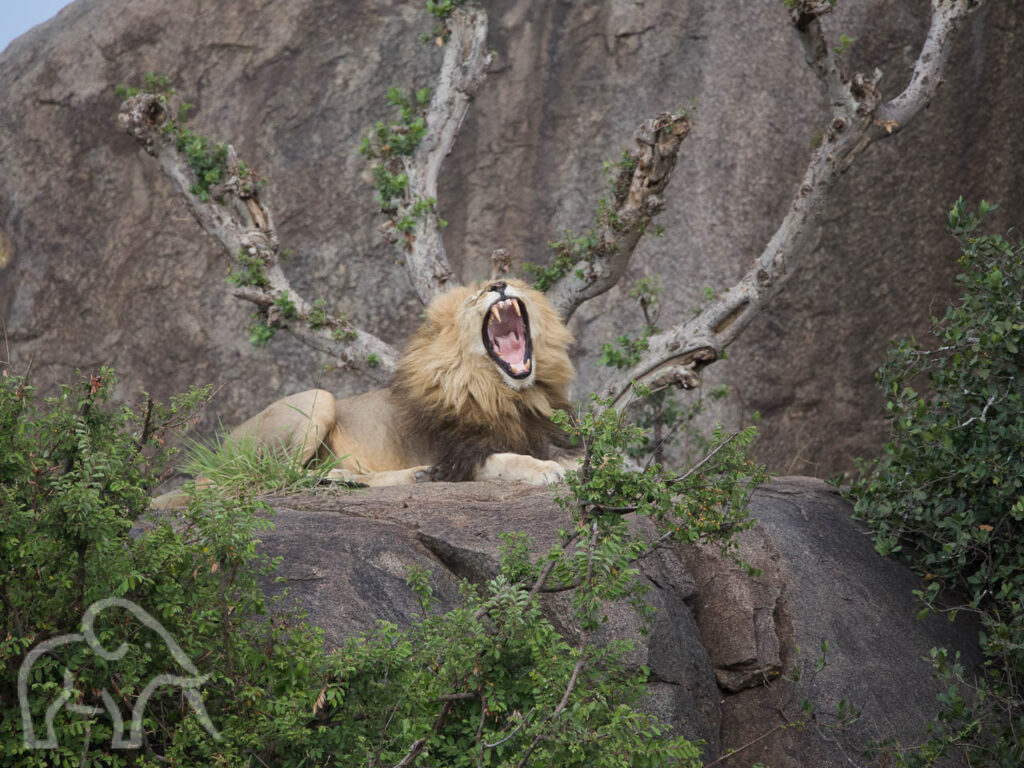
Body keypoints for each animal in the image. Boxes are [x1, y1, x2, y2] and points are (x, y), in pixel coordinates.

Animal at [214, 280, 577, 489]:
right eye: (473, 298)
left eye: (512, 281)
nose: (499, 285)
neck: (506, 393)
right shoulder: (456, 456)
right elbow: (510, 459)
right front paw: (547, 469)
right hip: (318, 399)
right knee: (275, 474)